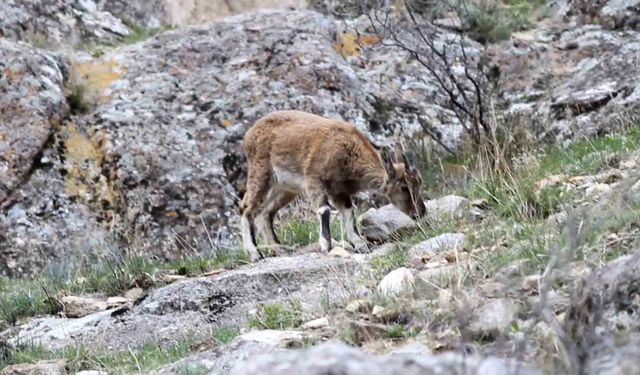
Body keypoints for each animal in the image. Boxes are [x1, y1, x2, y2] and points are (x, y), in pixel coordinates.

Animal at [238, 110, 428, 262]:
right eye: (404, 187)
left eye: (419, 182)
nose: (420, 212)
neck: (349, 154)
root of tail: (249, 134)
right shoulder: (314, 180)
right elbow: (325, 210)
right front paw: (326, 246)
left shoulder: (339, 191)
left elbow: (349, 214)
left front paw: (360, 244)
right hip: (261, 172)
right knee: (247, 208)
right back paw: (255, 253)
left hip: (285, 188)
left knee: (265, 212)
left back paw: (279, 248)